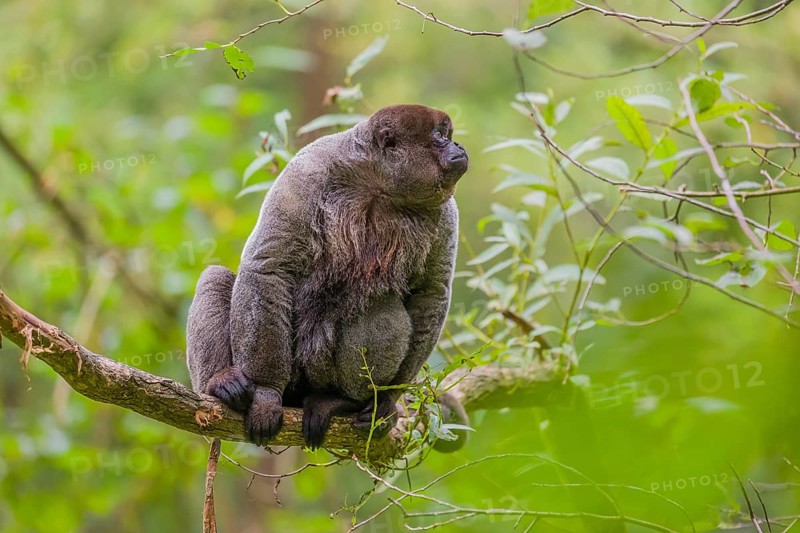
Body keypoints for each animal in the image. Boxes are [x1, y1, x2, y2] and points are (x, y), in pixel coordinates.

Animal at [186, 104, 469, 450]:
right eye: (439, 136)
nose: (457, 145)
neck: (379, 182)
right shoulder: (307, 171)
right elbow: (268, 266)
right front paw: (265, 393)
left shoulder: (447, 212)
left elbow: (432, 292)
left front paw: (389, 400)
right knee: (215, 277)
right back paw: (220, 385)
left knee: (380, 307)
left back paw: (344, 401)